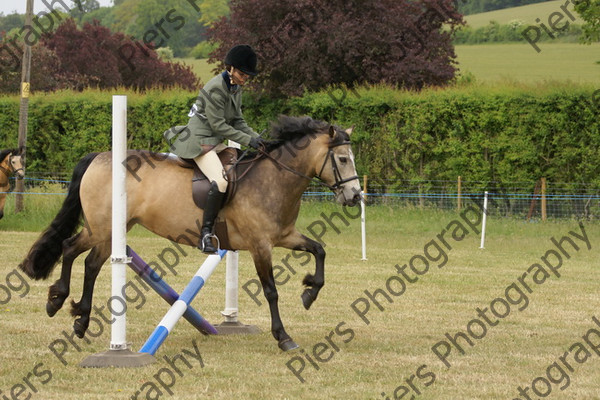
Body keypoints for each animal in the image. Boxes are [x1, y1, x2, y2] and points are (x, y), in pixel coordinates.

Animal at [19, 115, 360, 350]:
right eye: (343, 159)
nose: (355, 196)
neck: (273, 179)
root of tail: (99, 157)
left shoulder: (284, 236)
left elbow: (319, 249)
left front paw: (309, 293)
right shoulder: (261, 245)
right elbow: (271, 291)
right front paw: (284, 337)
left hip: (111, 231)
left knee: (85, 260)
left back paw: (76, 316)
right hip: (103, 229)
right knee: (73, 250)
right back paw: (60, 302)